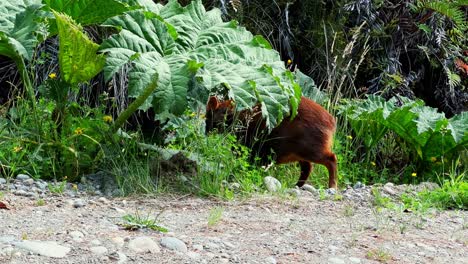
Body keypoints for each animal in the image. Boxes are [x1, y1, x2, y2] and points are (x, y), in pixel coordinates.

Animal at [205, 96, 336, 189]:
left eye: (209, 117)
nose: (206, 133)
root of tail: (332, 121)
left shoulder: (251, 148)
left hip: (311, 149)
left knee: (331, 159)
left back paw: (332, 186)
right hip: (300, 152)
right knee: (307, 167)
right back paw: (296, 186)